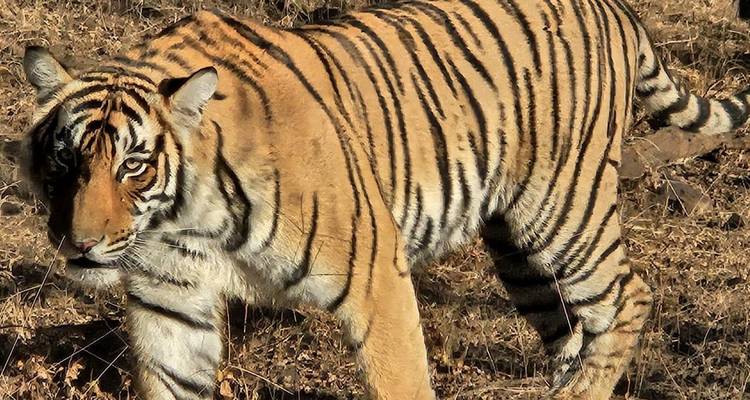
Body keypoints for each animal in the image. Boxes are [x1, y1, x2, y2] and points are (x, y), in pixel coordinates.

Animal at [19, 0, 749, 398]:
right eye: (65, 158)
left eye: (134, 166)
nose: (80, 243)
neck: (184, 221)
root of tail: (615, 8)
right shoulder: (169, 305)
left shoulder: (375, 274)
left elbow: (400, 379)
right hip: (516, 248)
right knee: (574, 329)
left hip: (562, 211)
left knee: (630, 296)